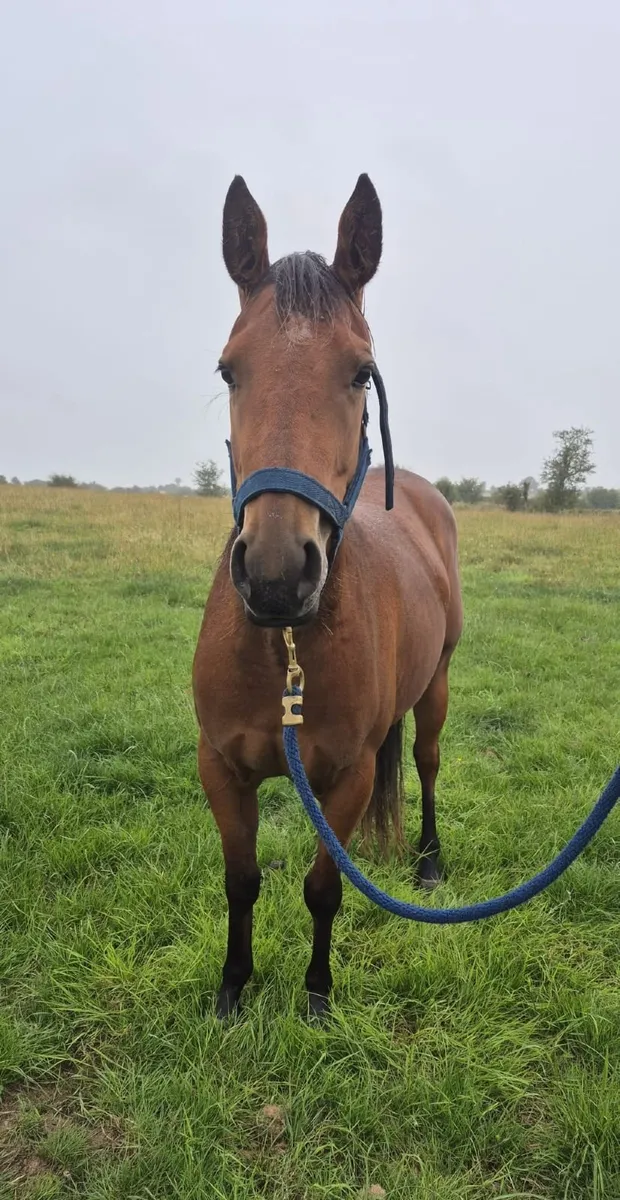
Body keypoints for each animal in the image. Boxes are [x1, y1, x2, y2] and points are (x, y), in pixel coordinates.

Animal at [192, 174, 463, 1019]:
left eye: (359, 371)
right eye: (229, 370)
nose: (278, 575)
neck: (283, 654)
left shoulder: (342, 780)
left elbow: (322, 889)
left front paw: (315, 995)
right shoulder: (221, 768)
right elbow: (241, 882)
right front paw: (233, 989)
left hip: (438, 684)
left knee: (429, 763)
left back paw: (430, 860)